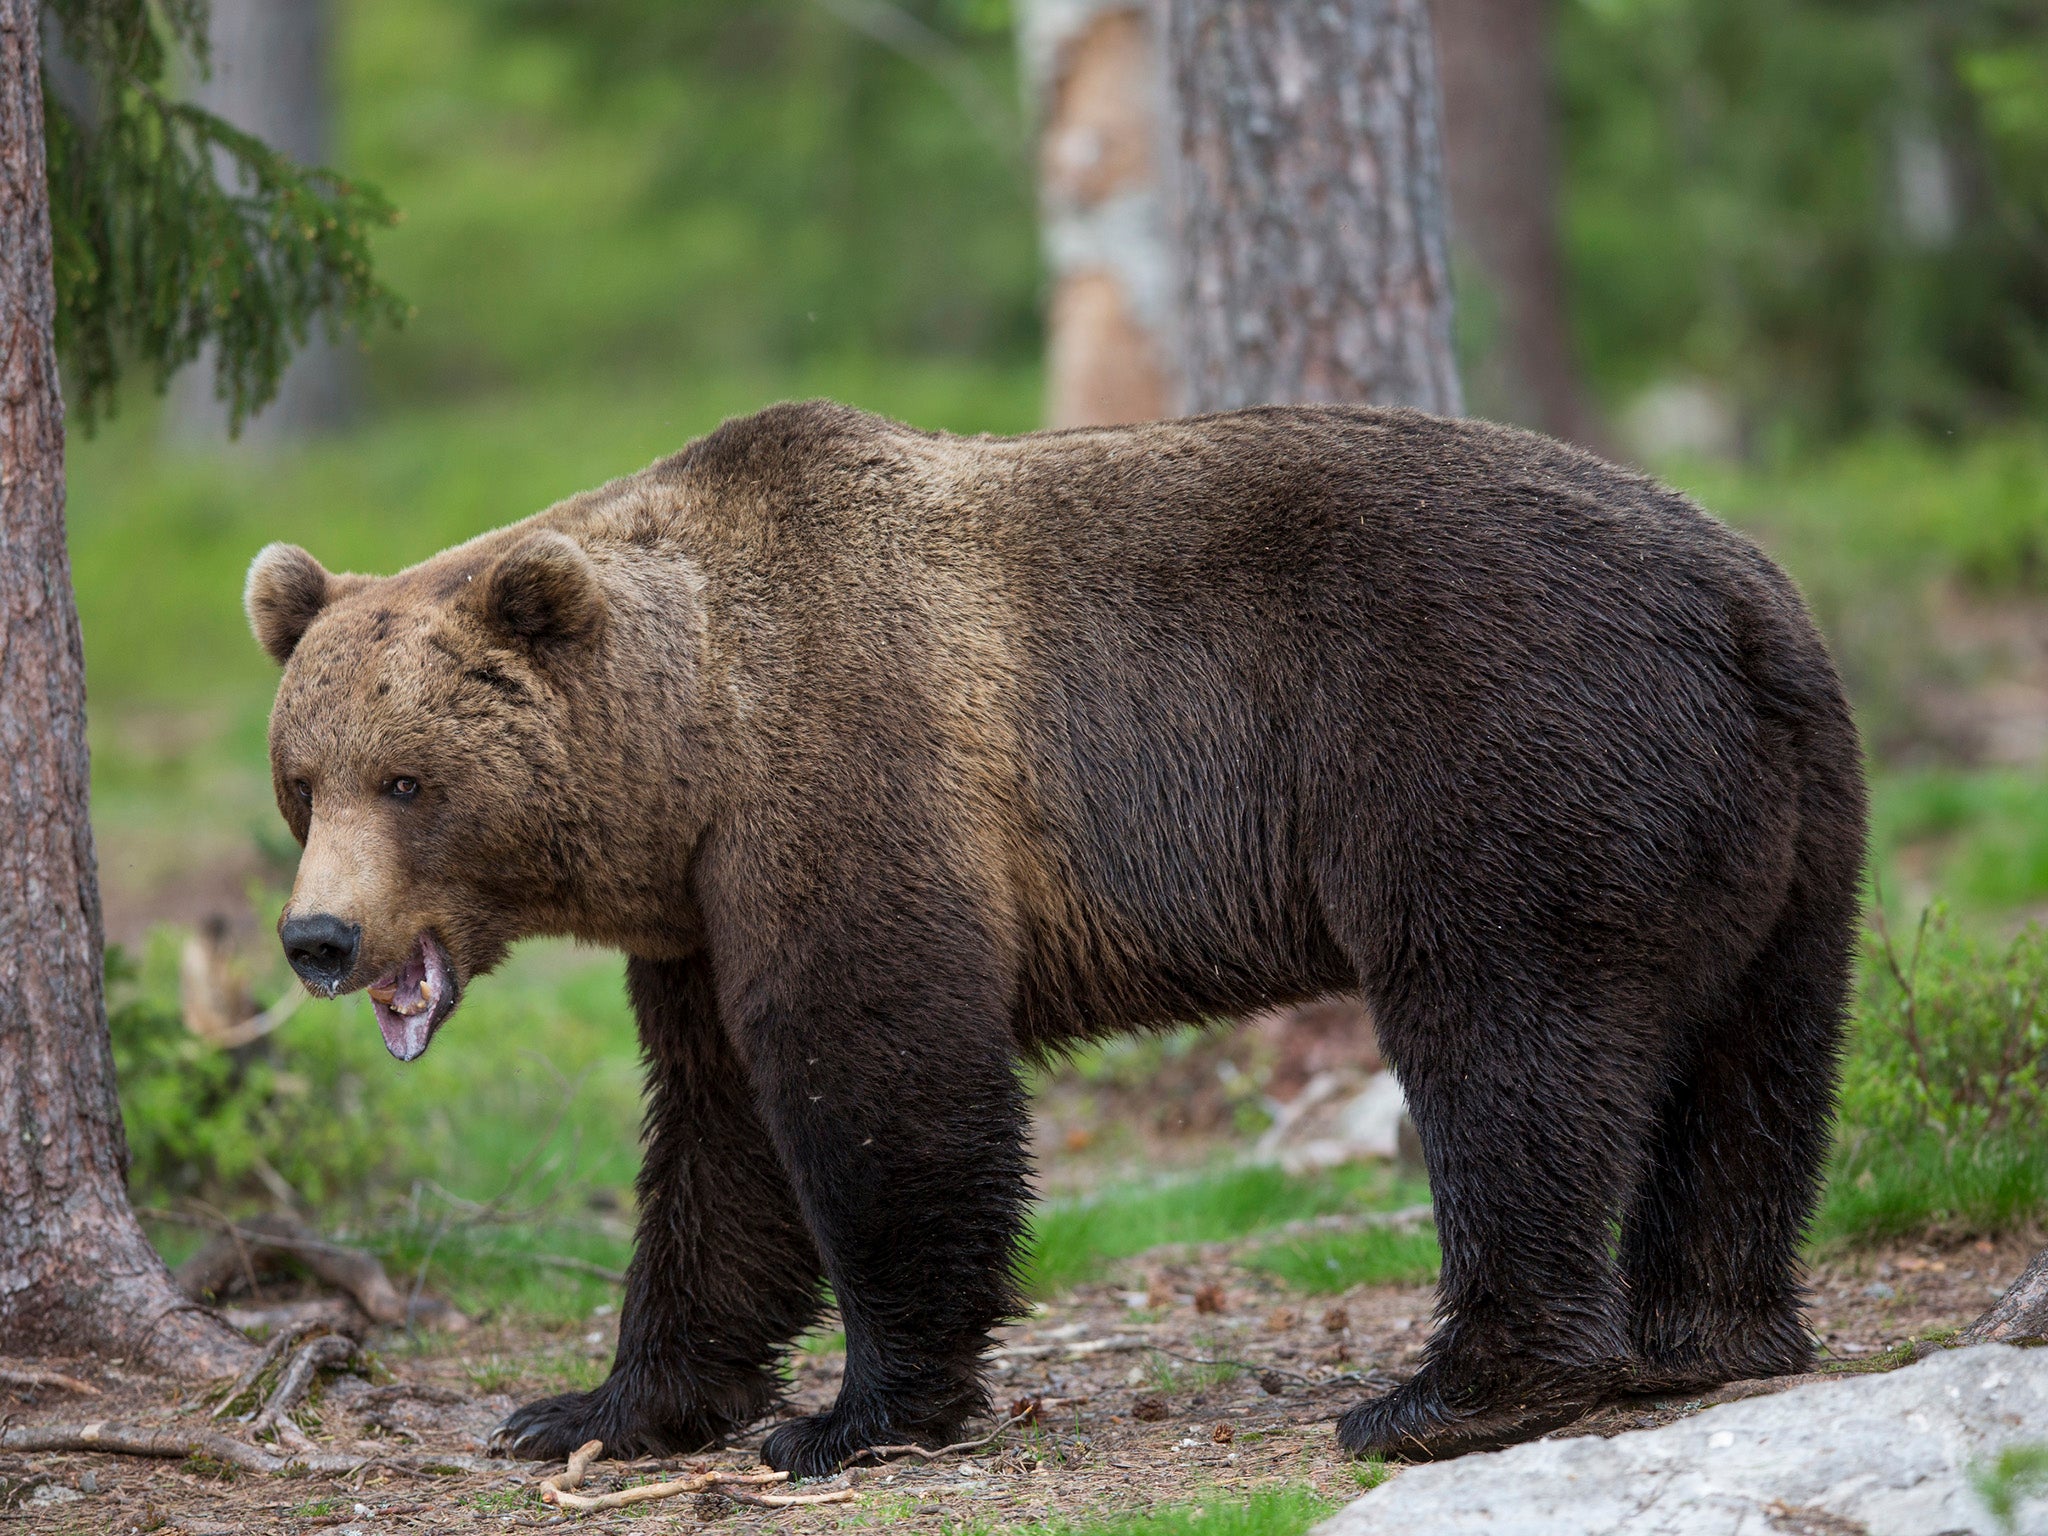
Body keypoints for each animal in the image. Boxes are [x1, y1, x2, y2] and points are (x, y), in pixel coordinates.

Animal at [247, 399, 1867, 1482]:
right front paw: (591, 1408)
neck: (694, 746)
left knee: (1506, 1048)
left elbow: (878, 1082)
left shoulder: (855, 781)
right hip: (1785, 829)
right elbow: (716, 1139)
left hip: (1499, 755)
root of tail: (1745, 601)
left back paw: (1454, 1389)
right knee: (1752, 1069)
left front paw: (850, 1414)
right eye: (302, 778)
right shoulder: (704, 917)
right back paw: (1711, 1332)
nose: (319, 937)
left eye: (409, 779)